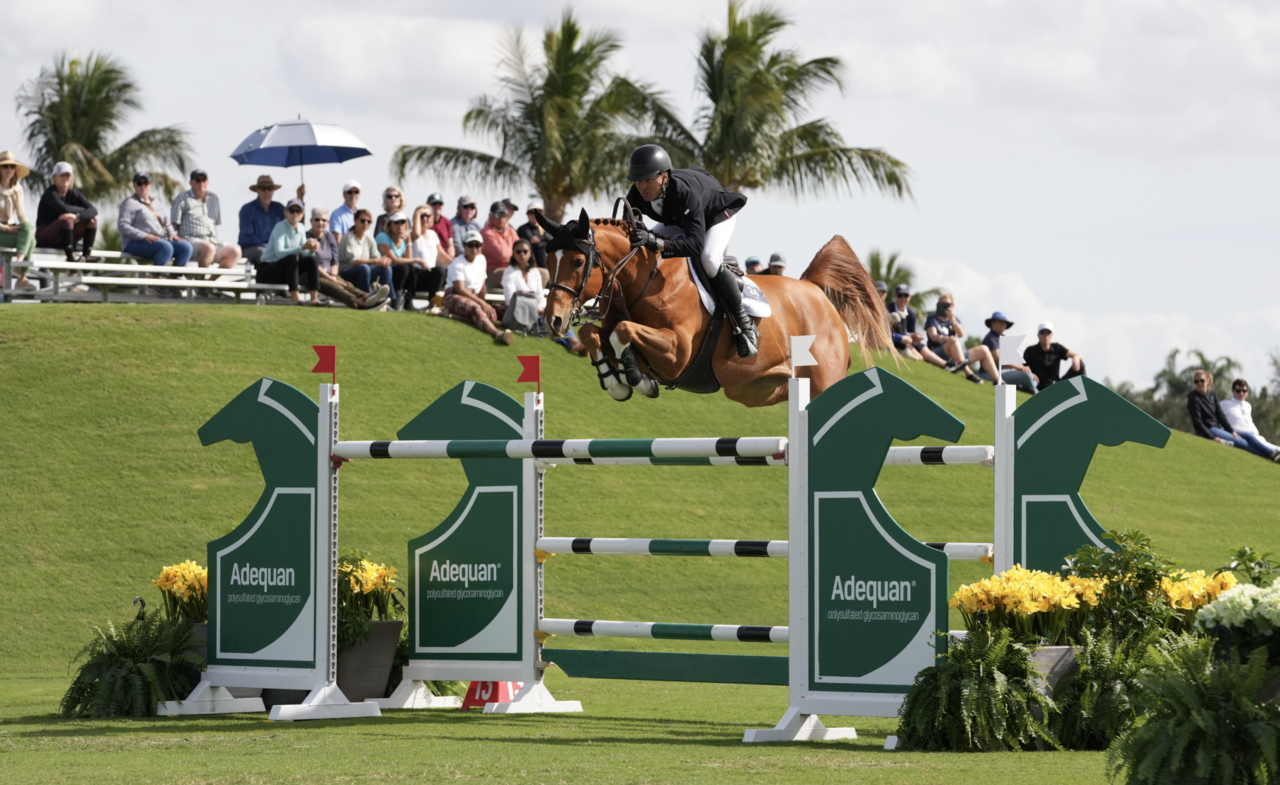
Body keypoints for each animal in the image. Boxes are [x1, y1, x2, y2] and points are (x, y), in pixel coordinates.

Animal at [537, 208, 893, 408]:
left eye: (578, 261)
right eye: (547, 259)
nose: (553, 320)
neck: (642, 279)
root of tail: (815, 290)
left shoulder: (678, 352)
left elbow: (623, 331)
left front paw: (637, 379)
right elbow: (593, 332)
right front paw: (617, 382)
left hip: (822, 379)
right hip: (756, 389)